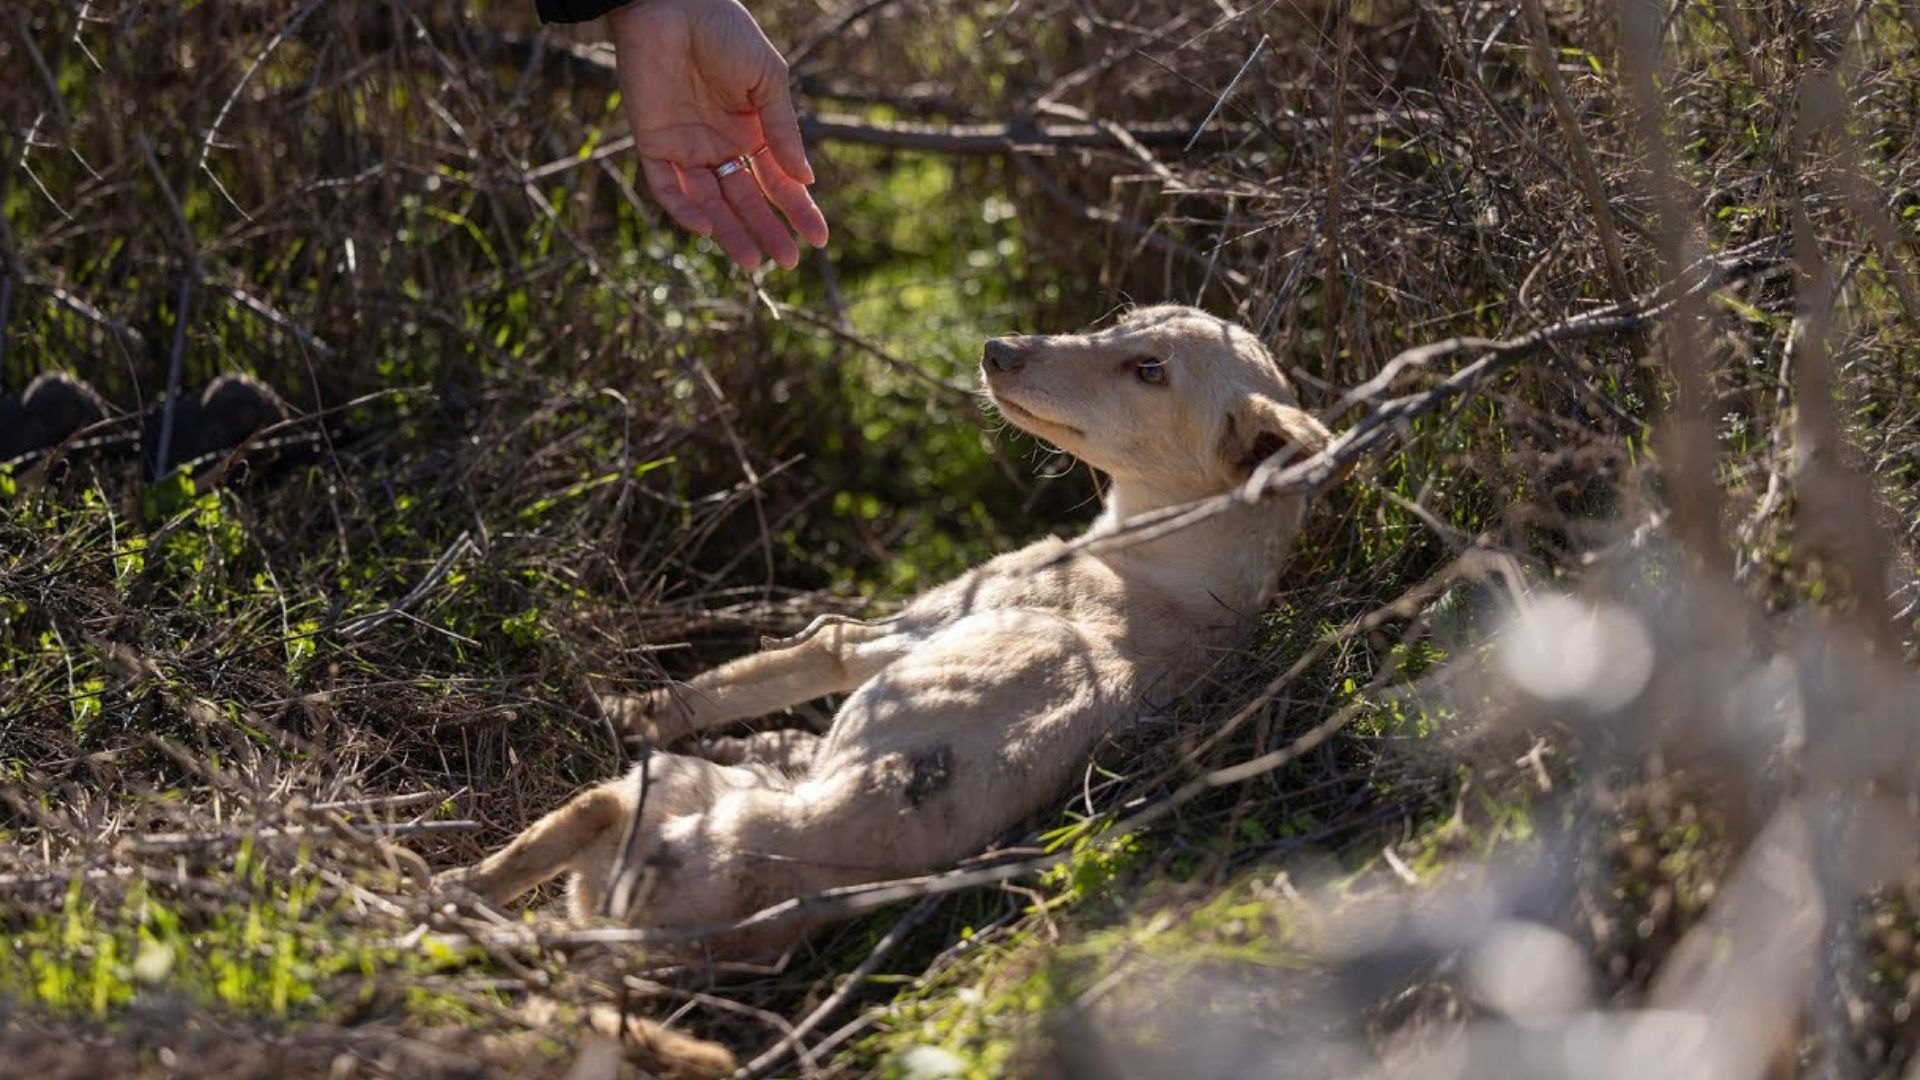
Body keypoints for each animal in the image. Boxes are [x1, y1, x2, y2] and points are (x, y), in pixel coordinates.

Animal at [447, 305, 1336, 949]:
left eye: (1151, 369)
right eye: (1120, 320)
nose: (997, 348)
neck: (1182, 559)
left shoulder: (875, 641)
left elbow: (719, 685)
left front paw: (616, 704)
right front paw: (757, 736)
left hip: (645, 791)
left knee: (542, 842)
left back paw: (445, 886)